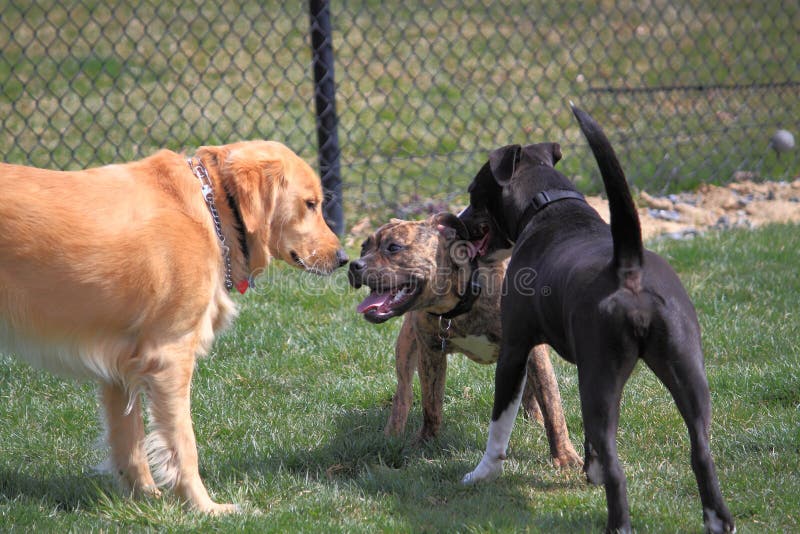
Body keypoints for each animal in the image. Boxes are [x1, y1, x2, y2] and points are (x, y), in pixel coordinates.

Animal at [346, 214, 580, 468]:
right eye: (363, 247)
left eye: (394, 247)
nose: (354, 265)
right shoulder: (430, 353)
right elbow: (431, 404)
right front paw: (426, 442)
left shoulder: (532, 352)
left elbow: (552, 405)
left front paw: (565, 457)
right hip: (406, 346)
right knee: (403, 393)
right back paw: (393, 433)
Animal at [460, 108, 736, 534]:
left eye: (475, 192)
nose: (456, 221)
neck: (550, 206)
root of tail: (629, 267)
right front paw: (590, 470)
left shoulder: (515, 350)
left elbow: (499, 424)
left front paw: (482, 474)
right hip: (685, 372)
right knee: (701, 453)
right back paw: (716, 519)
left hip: (603, 378)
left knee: (618, 466)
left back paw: (617, 524)